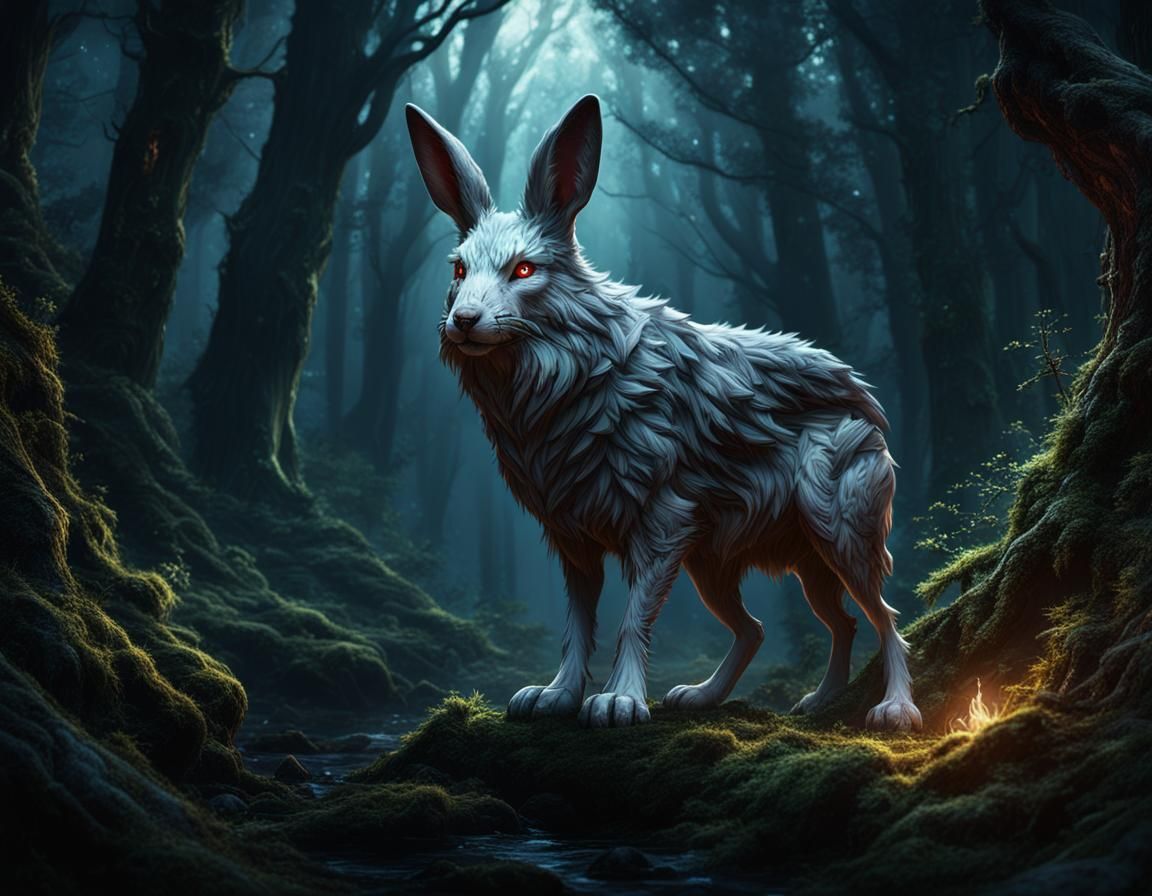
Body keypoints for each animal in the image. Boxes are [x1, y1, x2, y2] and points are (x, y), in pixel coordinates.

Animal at [405, 94, 921, 731]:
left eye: (523, 270)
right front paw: (554, 696)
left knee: (886, 618)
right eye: (458, 270)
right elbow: (577, 626)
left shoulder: (661, 524)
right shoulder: (573, 539)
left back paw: (895, 709)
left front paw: (620, 702)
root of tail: (866, 402)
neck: (572, 372)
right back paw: (760, 699)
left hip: (837, 531)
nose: (464, 321)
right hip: (732, 564)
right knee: (789, 626)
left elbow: (632, 621)